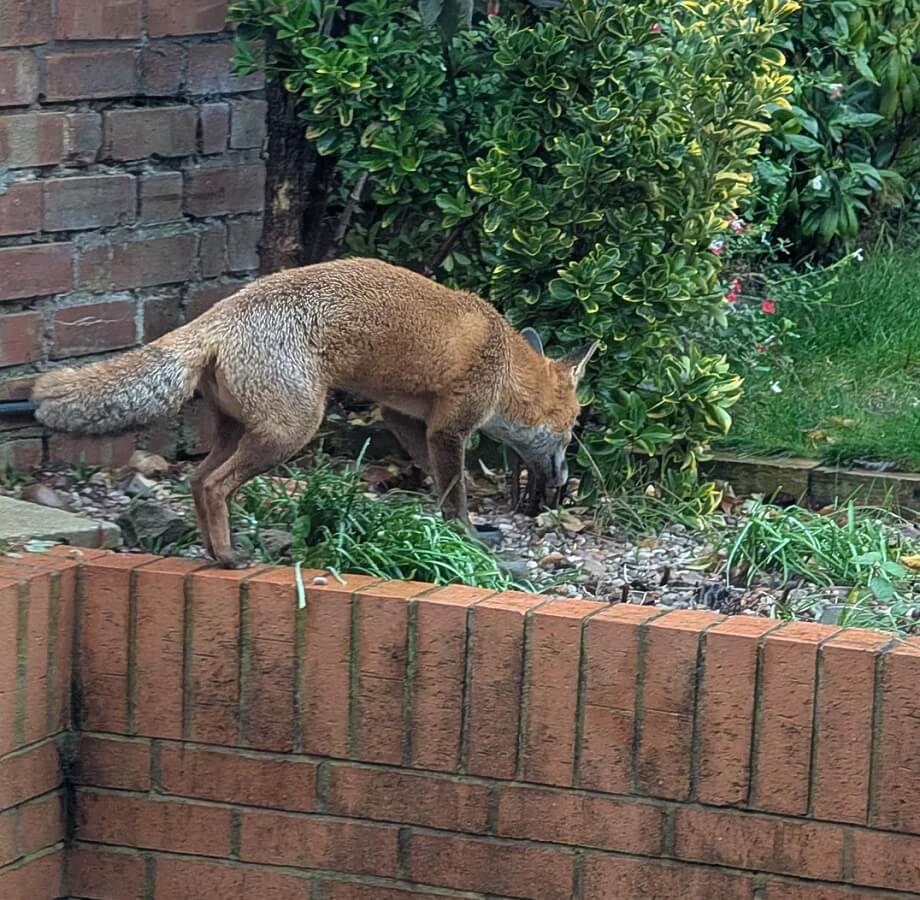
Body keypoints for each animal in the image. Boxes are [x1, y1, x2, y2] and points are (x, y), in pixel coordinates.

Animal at [32, 258, 598, 568]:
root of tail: (221, 314)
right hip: (291, 431)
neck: (504, 362)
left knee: (196, 480)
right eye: (572, 430)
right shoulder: (449, 427)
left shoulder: (402, 414)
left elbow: (440, 486)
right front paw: (470, 539)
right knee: (214, 485)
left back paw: (215, 552)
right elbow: (454, 495)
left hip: (238, 431)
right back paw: (230, 558)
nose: (564, 480)